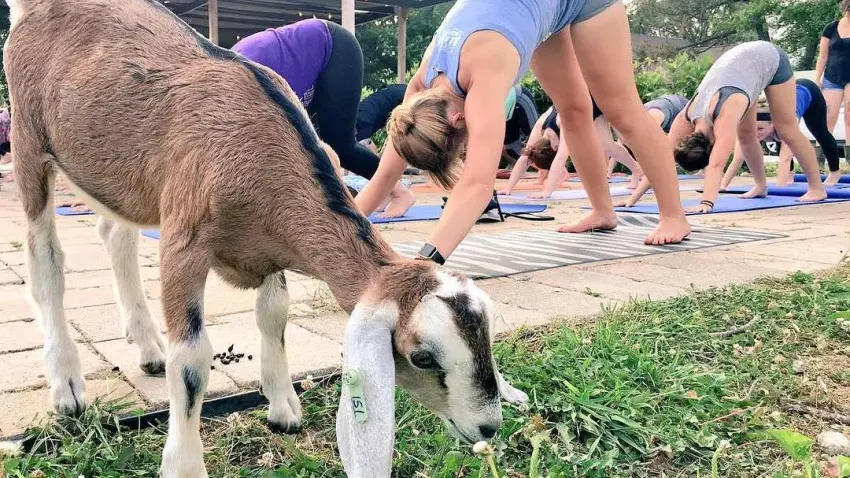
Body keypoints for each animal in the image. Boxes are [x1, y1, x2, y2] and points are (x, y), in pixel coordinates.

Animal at [3, 0, 529, 476]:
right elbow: (191, 362)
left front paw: (283, 408)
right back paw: (68, 387)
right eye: (421, 356)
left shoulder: (271, 246)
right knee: (46, 258)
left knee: (114, 231)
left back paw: (148, 349)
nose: (488, 427)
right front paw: (184, 464)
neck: (257, 144)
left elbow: (274, 314)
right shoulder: (183, 241)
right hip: (30, 140)